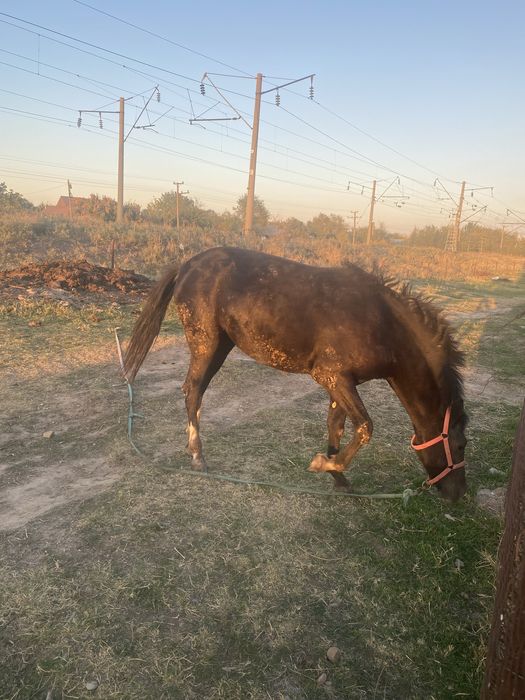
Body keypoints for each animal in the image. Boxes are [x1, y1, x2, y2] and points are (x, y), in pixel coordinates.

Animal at [124, 246, 468, 502]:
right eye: (461, 445)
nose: (458, 495)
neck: (383, 323)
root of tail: (188, 264)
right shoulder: (332, 377)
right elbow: (365, 428)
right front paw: (322, 464)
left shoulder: (340, 383)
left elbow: (337, 428)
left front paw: (337, 476)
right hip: (206, 343)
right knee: (193, 390)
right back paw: (198, 457)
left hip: (221, 346)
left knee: (195, 391)